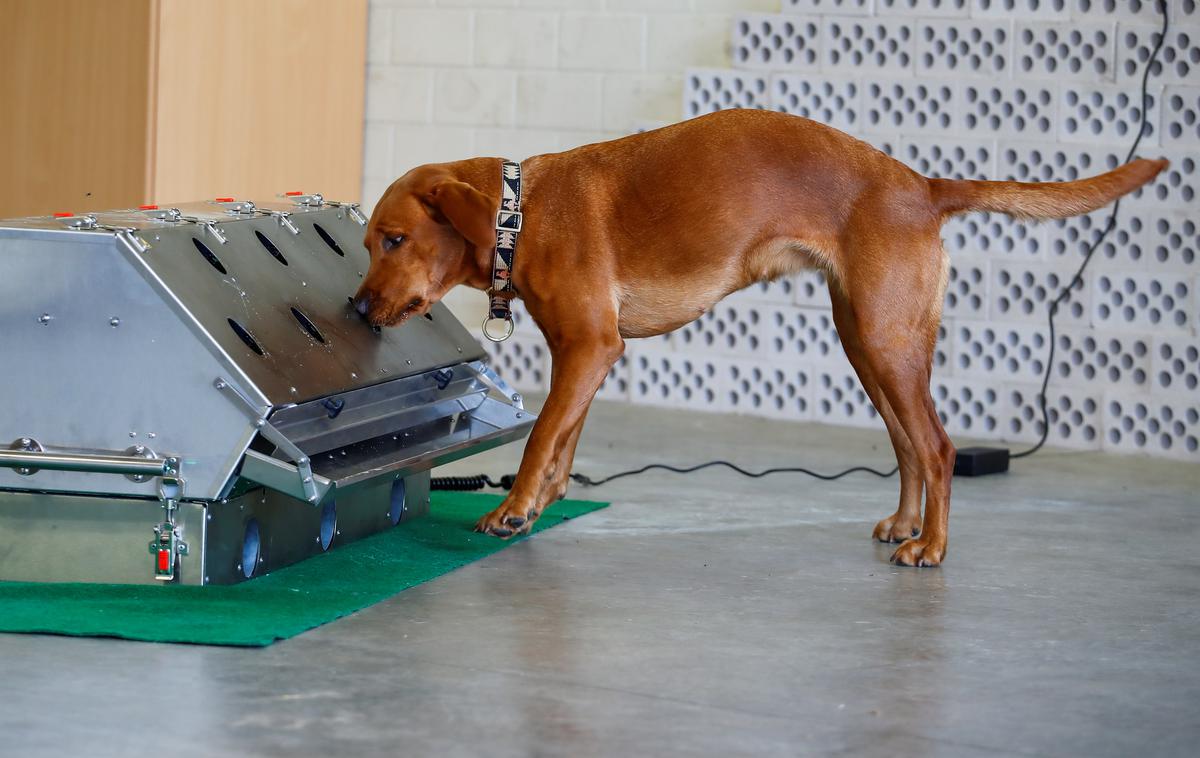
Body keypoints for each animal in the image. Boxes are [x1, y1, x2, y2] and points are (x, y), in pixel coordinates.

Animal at [352, 109, 1161, 566]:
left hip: (887, 342)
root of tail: (922, 187)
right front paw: (539, 505)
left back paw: (932, 546)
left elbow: (542, 436)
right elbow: (562, 441)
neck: (522, 213)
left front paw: (513, 507)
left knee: (936, 446)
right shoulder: (585, 355)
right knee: (907, 445)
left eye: (393, 239)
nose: (357, 309)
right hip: (868, 344)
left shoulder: (589, 348)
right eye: (367, 243)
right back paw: (906, 526)